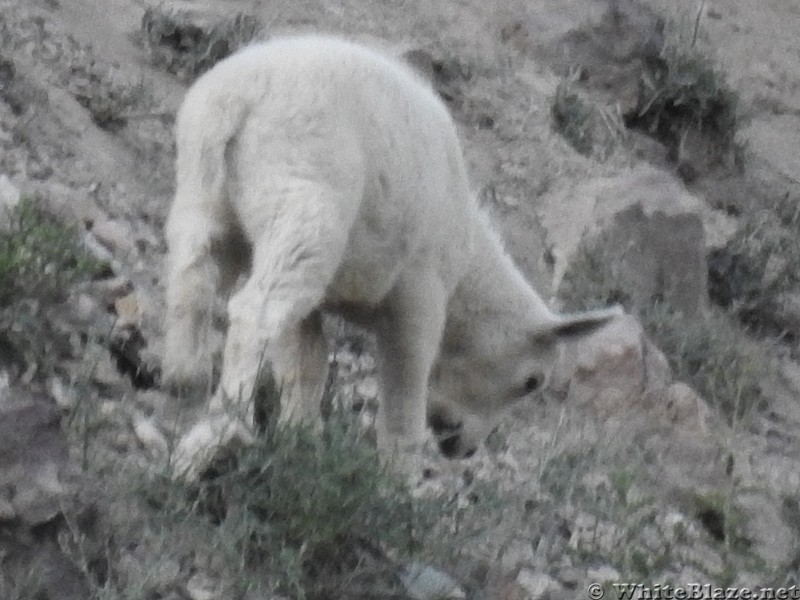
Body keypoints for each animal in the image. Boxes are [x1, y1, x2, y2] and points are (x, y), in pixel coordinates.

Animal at [162, 34, 620, 474]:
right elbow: (405, 381)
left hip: (208, 194)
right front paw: (398, 473)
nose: (465, 449)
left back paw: (184, 377)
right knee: (254, 311)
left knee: (194, 275)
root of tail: (239, 99)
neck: (467, 273)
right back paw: (224, 423)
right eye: (532, 381)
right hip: (306, 202)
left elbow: (306, 361)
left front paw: (301, 437)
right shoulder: (420, 291)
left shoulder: (322, 295)